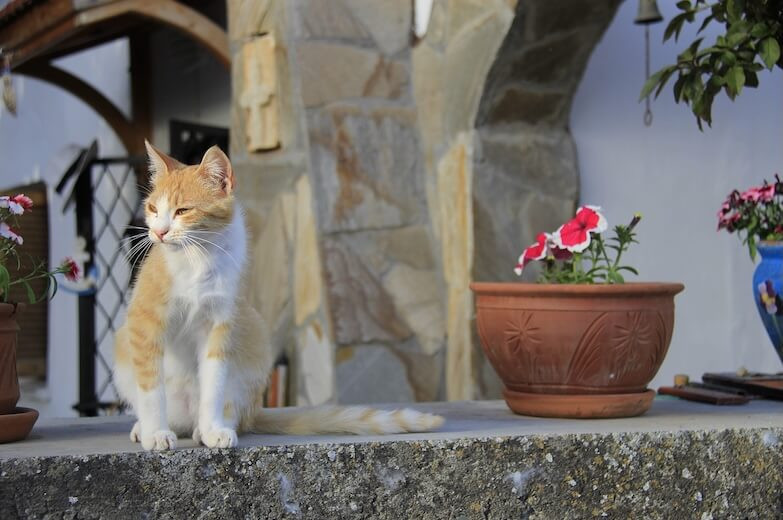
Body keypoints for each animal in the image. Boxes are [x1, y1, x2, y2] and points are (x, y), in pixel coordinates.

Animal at [112, 143, 444, 450]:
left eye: (183, 211)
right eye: (153, 209)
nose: (159, 232)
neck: (198, 257)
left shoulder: (220, 322)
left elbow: (214, 383)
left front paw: (212, 428)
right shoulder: (144, 321)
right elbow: (151, 387)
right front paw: (156, 433)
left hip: (253, 334)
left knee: (230, 406)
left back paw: (207, 427)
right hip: (124, 345)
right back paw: (148, 427)